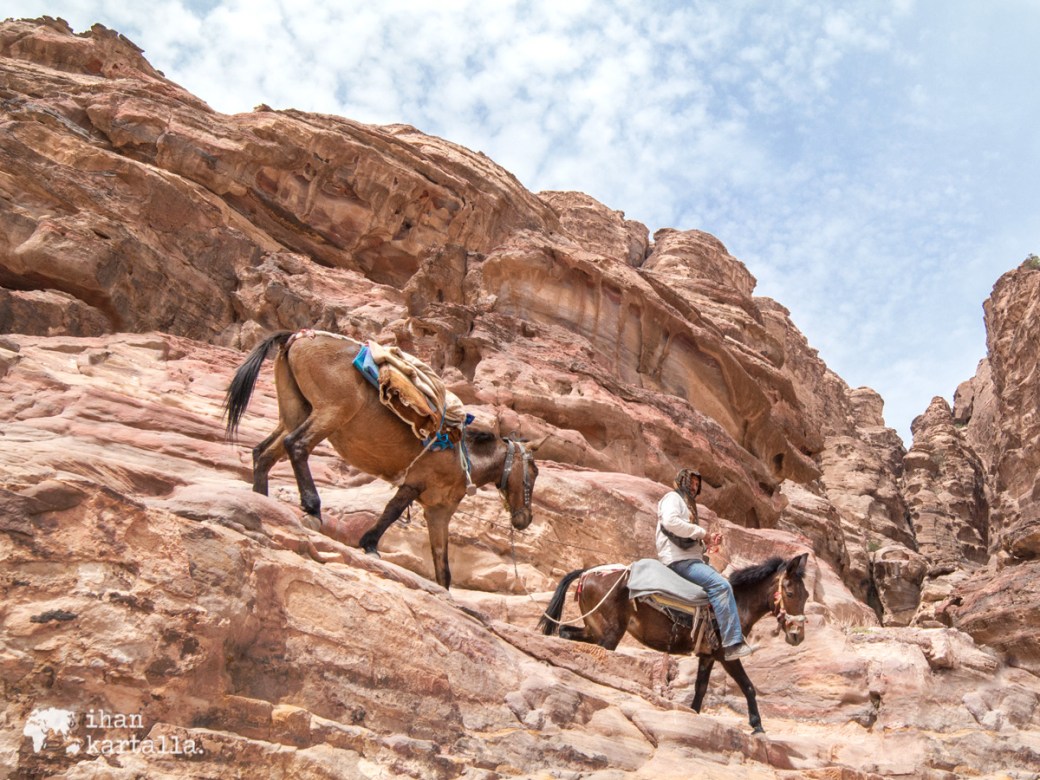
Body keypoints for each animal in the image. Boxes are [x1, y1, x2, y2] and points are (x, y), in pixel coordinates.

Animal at [223, 329, 542, 589]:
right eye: (534, 471)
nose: (525, 519)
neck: (465, 457)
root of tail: (296, 336)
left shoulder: (438, 511)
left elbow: (443, 567)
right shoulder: (415, 483)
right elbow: (392, 511)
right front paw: (369, 544)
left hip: (295, 410)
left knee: (263, 453)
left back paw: (261, 501)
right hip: (330, 412)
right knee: (297, 445)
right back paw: (312, 509)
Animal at [538, 552, 809, 733]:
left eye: (806, 595)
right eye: (790, 593)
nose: (797, 635)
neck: (737, 602)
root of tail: (587, 572)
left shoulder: (708, 656)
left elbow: (700, 688)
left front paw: (694, 714)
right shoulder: (727, 655)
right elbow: (748, 686)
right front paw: (758, 726)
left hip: (593, 629)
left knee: (565, 633)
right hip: (609, 635)